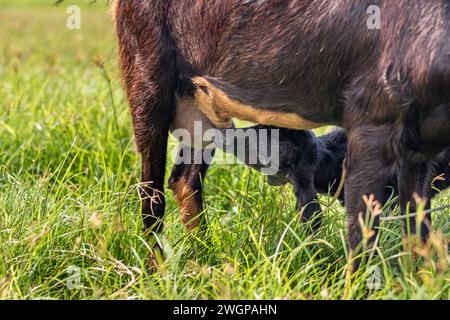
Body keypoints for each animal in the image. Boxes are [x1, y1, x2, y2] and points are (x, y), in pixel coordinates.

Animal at [114, 0, 450, 270]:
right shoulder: (369, 124)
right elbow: (362, 238)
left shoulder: (419, 150)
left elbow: (419, 232)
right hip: (148, 82)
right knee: (152, 193)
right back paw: (157, 272)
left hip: (200, 110)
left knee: (184, 180)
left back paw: (205, 260)